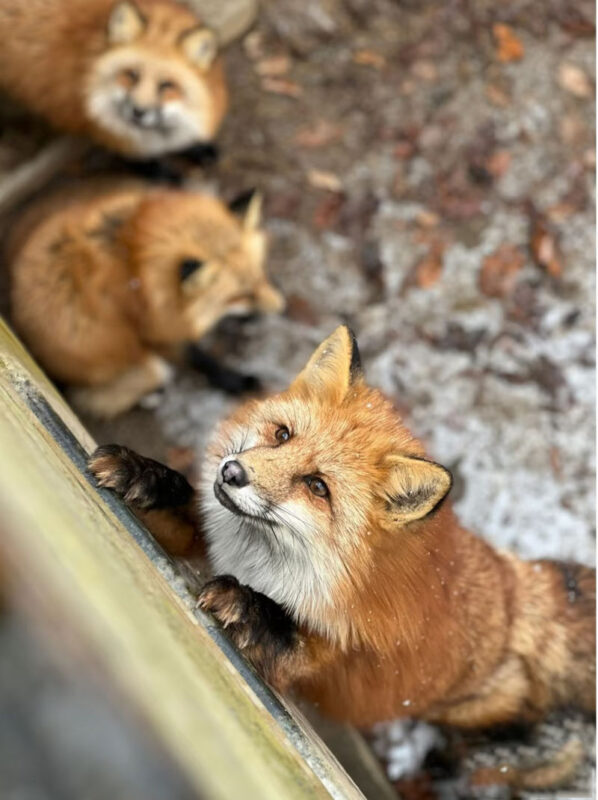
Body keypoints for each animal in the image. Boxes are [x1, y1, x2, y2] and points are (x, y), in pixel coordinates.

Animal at [9, 180, 284, 417]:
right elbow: (200, 360)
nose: (281, 309)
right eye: (241, 295)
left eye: (261, 276)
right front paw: (235, 381)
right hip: (146, 367)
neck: (133, 260)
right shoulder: (152, 329)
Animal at [89, 326, 595, 787]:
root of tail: (512, 584)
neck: (259, 562)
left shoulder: (317, 658)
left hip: (472, 710)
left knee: (512, 734)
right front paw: (143, 474)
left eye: (317, 486)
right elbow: (177, 504)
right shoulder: (206, 539)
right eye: (282, 435)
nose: (231, 473)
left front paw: (244, 603)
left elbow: (279, 625)